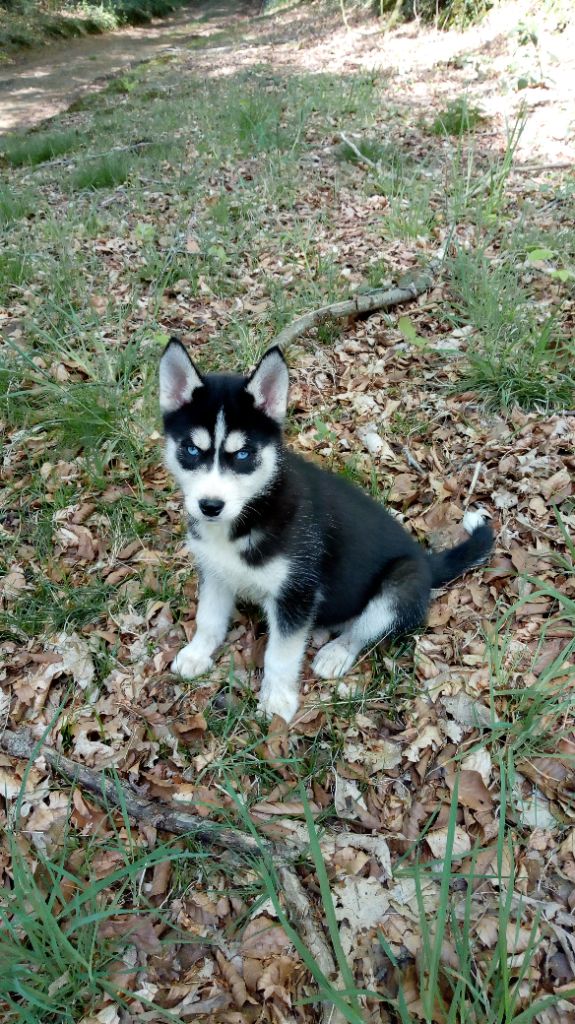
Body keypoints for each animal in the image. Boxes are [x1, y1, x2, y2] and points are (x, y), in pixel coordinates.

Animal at [158, 339, 491, 724]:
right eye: (191, 449)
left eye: (242, 454)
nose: (210, 506)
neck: (250, 513)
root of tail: (425, 559)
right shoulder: (215, 570)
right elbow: (209, 618)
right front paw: (197, 653)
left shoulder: (296, 592)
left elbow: (281, 654)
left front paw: (277, 700)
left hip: (400, 584)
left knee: (365, 628)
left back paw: (336, 653)